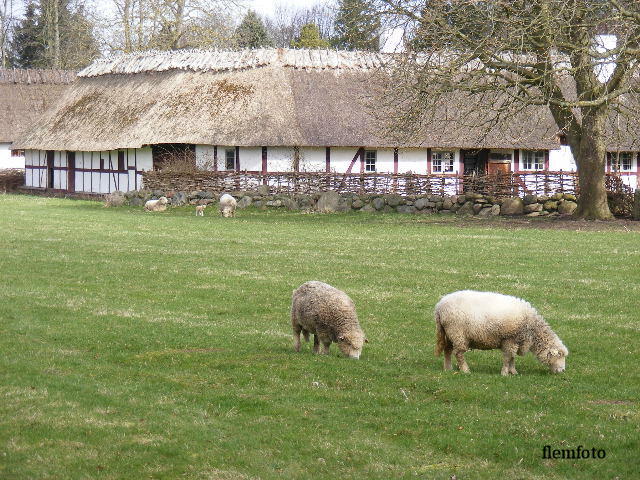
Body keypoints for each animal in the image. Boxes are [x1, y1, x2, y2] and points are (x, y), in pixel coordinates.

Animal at [432, 288, 568, 376]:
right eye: (559, 356)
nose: (563, 371)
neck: (531, 328)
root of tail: (439, 306)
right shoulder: (510, 339)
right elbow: (508, 357)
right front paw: (505, 373)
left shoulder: (515, 340)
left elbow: (512, 357)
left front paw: (513, 372)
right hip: (457, 332)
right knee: (458, 353)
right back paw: (465, 370)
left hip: (449, 333)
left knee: (447, 350)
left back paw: (448, 369)